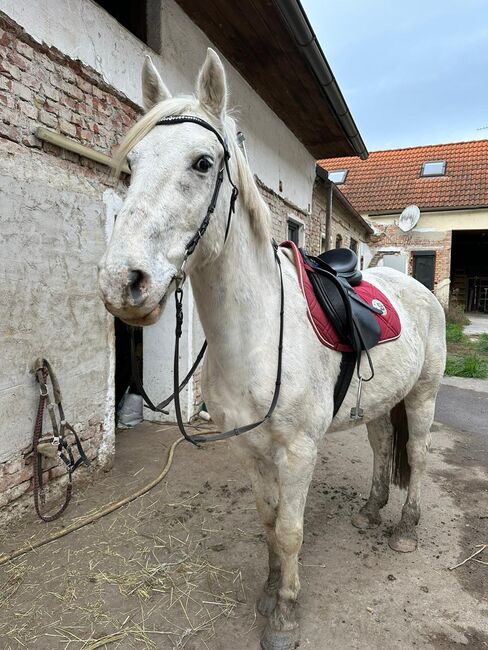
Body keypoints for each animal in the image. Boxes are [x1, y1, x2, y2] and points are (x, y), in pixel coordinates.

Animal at [98, 50, 446, 648]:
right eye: (133, 164)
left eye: (202, 163)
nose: (124, 282)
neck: (256, 334)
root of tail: (418, 289)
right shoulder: (250, 448)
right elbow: (266, 521)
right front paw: (266, 594)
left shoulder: (298, 451)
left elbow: (289, 530)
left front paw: (284, 617)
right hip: (382, 403)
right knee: (383, 449)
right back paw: (371, 511)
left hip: (422, 397)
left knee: (418, 457)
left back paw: (404, 529)